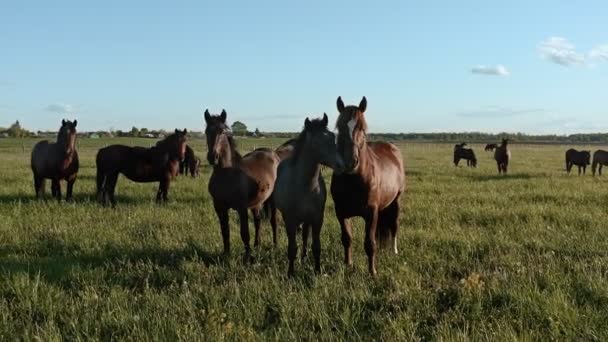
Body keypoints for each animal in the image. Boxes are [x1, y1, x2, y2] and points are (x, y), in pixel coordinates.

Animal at [204, 109, 280, 262]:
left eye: (222, 131)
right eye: (206, 131)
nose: (213, 157)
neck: (226, 175)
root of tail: (273, 154)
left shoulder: (241, 208)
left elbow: (244, 233)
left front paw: (247, 258)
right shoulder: (219, 207)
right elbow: (225, 231)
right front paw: (226, 255)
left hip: (272, 199)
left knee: (273, 221)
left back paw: (274, 245)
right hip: (257, 202)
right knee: (258, 221)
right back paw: (257, 245)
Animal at [274, 113, 342, 276]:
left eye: (333, 136)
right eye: (316, 142)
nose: (342, 164)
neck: (305, 186)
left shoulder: (317, 218)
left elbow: (316, 246)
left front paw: (317, 270)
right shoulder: (290, 219)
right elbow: (292, 247)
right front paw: (290, 273)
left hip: (307, 219)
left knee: (305, 236)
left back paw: (304, 257)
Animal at [330, 96, 406, 276]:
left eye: (362, 128)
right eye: (339, 127)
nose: (350, 162)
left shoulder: (371, 212)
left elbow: (370, 243)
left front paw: (372, 273)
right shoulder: (341, 211)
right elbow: (347, 238)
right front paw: (348, 264)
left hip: (396, 201)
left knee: (394, 226)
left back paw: (394, 251)